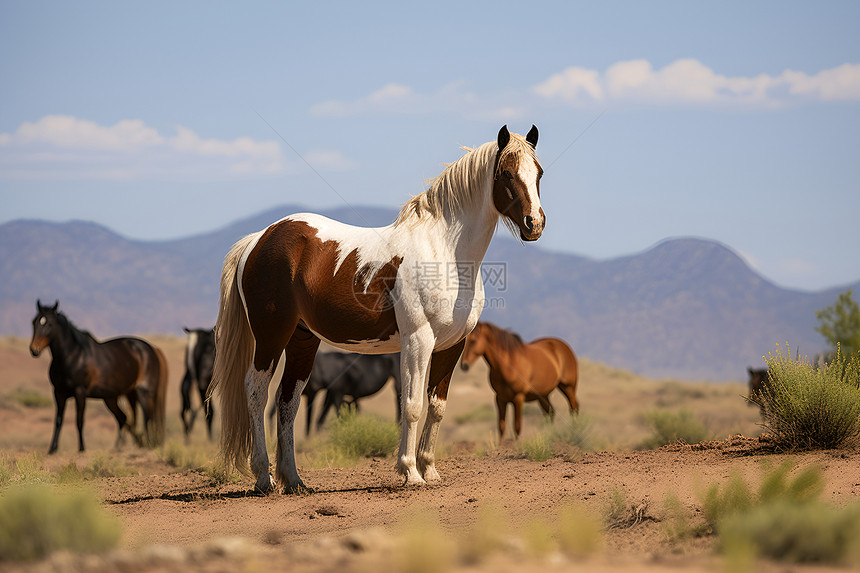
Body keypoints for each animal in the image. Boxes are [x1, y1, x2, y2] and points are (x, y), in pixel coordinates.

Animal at [28, 300, 168, 452]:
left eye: (49, 323)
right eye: (34, 321)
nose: (34, 349)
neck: (72, 356)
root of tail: (151, 349)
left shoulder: (80, 392)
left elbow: (79, 420)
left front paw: (81, 448)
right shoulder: (59, 393)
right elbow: (58, 420)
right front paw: (52, 449)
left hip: (143, 392)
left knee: (148, 417)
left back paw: (148, 444)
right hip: (115, 397)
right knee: (124, 418)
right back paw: (119, 447)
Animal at [209, 125, 544, 492]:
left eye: (539, 173)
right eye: (506, 173)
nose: (535, 224)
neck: (444, 252)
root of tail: (259, 238)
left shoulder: (453, 345)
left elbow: (437, 407)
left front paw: (430, 470)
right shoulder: (417, 340)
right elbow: (412, 406)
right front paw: (410, 472)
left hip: (303, 340)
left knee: (288, 402)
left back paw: (294, 480)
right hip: (271, 336)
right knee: (256, 393)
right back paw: (263, 477)